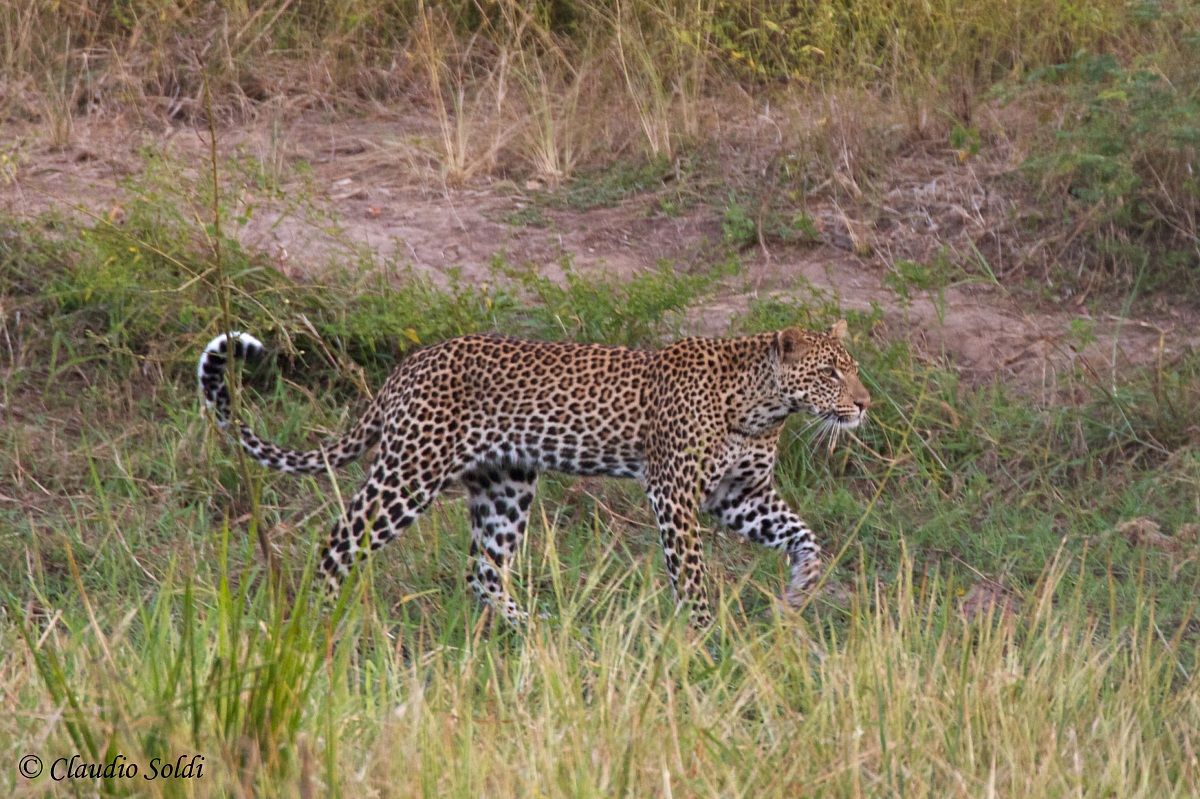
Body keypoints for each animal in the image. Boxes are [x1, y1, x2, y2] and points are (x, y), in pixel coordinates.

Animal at [197, 322, 871, 627]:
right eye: (831, 373)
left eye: (854, 367)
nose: (864, 403)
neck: (762, 407)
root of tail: (406, 368)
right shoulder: (675, 493)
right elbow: (693, 577)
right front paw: (706, 637)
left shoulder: (740, 495)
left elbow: (806, 536)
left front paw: (798, 594)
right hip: (410, 472)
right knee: (339, 540)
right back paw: (318, 620)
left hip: (506, 484)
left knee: (482, 572)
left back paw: (537, 631)